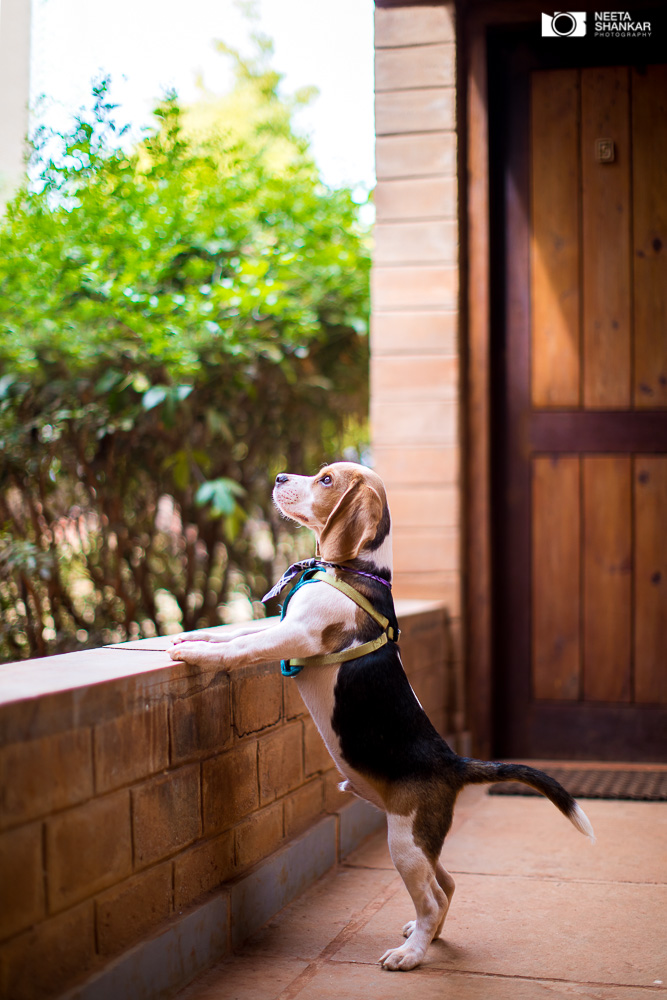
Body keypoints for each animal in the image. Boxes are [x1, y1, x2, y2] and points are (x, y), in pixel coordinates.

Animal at [168, 464, 596, 972]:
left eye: (326, 479)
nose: (279, 478)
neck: (357, 571)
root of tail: (454, 764)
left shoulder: (298, 634)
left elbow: (242, 648)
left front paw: (197, 653)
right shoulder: (288, 630)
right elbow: (236, 639)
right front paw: (200, 641)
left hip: (404, 841)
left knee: (432, 896)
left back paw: (411, 955)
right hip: (417, 839)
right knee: (446, 884)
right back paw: (427, 937)